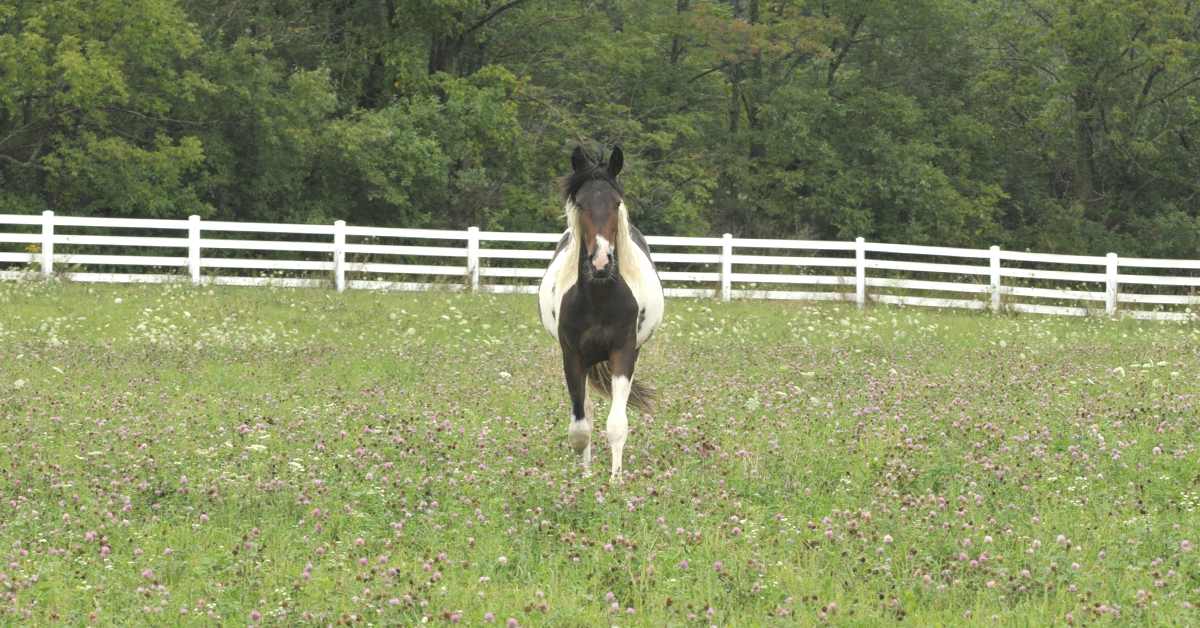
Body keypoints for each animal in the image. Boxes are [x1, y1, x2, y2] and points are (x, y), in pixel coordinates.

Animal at [538, 146, 665, 481]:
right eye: (580, 203)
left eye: (616, 202)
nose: (601, 262)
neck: (599, 298)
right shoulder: (572, 356)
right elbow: (580, 428)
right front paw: (584, 477)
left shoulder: (623, 351)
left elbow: (617, 424)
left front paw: (616, 480)